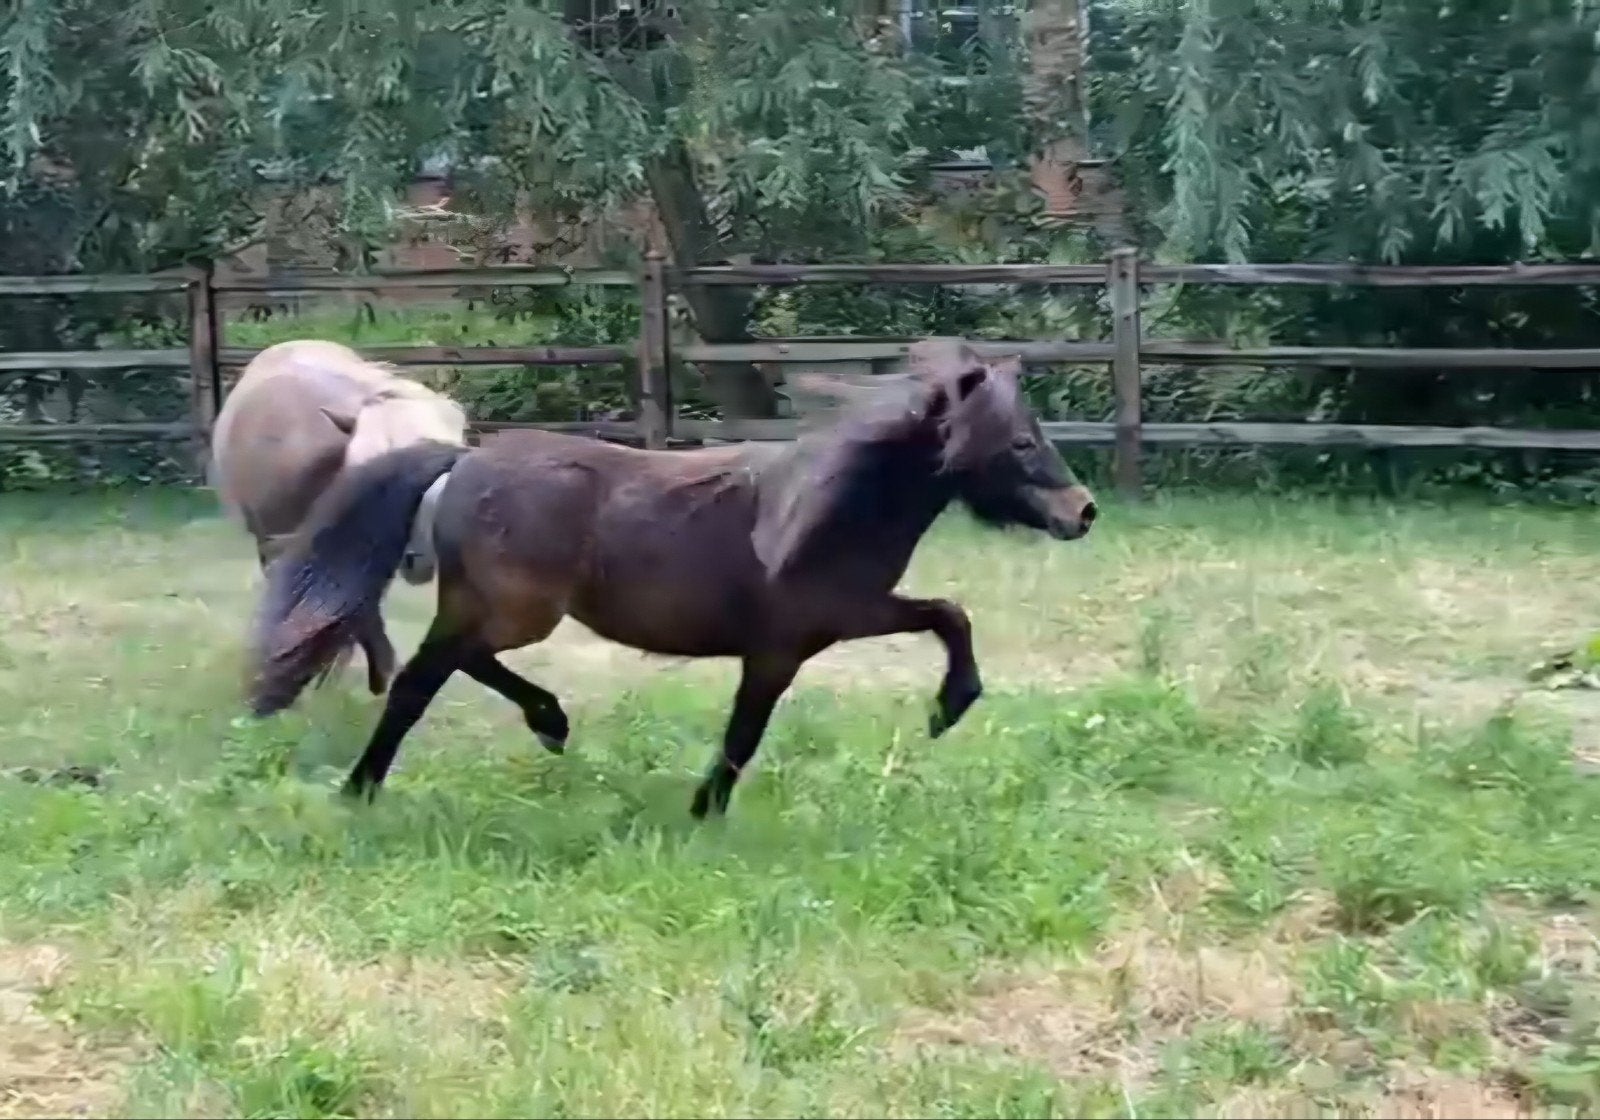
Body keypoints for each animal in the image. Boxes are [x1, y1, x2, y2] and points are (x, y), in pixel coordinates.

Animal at [244, 339, 1098, 818]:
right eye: (1021, 442)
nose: (1083, 512)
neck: (831, 507)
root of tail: (461, 460)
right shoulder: (797, 639)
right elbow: (745, 735)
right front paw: (704, 812)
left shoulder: (840, 621)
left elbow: (946, 614)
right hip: (516, 611)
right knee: (425, 677)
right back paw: (367, 786)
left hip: (492, 607)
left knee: (451, 665)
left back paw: (544, 722)